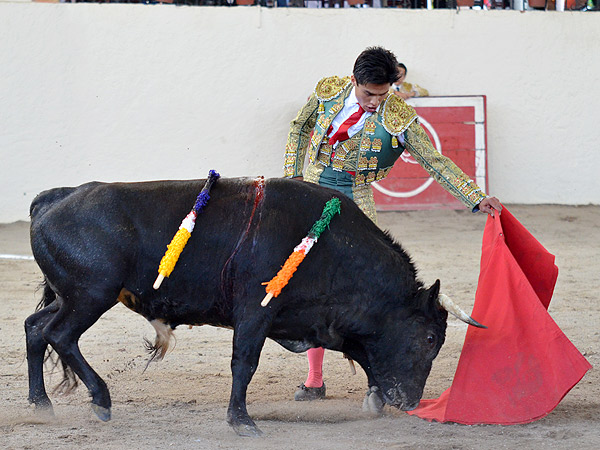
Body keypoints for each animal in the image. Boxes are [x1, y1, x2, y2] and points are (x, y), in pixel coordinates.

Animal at [25, 177, 482, 436]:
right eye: (429, 338)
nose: (411, 401)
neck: (330, 249)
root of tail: (54, 199)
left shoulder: (318, 321)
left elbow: (363, 354)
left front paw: (374, 399)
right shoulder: (255, 314)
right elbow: (244, 363)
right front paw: (242, 421)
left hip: (71, 297)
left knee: (35, 327)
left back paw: (41, 405)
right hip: (90, 296)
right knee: (59, 334)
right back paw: (100, 401)